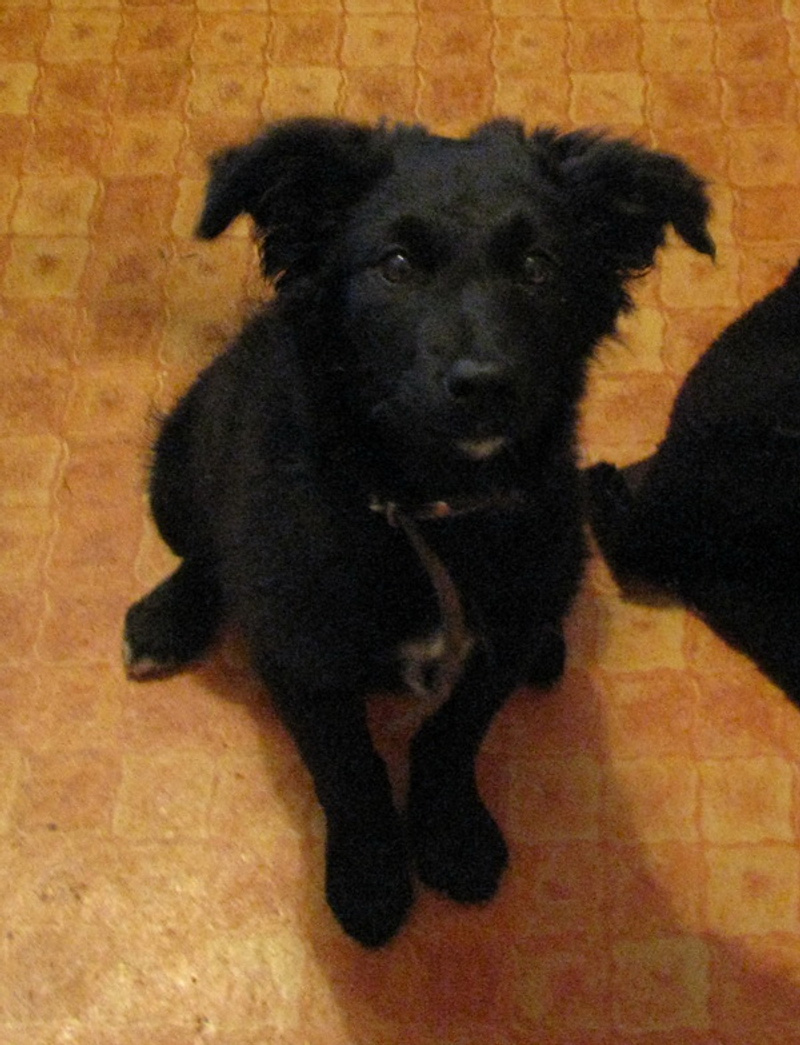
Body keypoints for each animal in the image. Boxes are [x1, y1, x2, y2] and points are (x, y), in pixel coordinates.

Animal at [123, 117, 714, 947]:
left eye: (538, 266)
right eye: (396, 265)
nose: (485, 383)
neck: (430, 509)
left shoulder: (494, 642)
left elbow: (451, 736)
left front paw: (451, 836)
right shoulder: (302, 659)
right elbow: (349, 769)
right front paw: (371, 876)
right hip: (177, 466)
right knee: (203, 550)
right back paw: (166, 617)